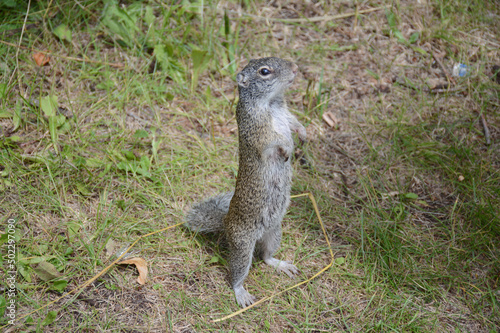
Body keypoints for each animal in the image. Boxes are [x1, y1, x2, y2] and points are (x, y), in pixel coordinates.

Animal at [186, 56, 306, 306]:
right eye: (264, 72)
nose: (295, 69)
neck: (272, 102)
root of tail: (226, 223)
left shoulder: (286, 113)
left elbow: (294, 122)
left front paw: (303, 133)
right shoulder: (256, 128)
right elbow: (274, 140)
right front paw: (288, 148)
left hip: (274, 233)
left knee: (266, 257)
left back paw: (281, 264)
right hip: (242, 246)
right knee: (238, 272)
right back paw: (241, 293)